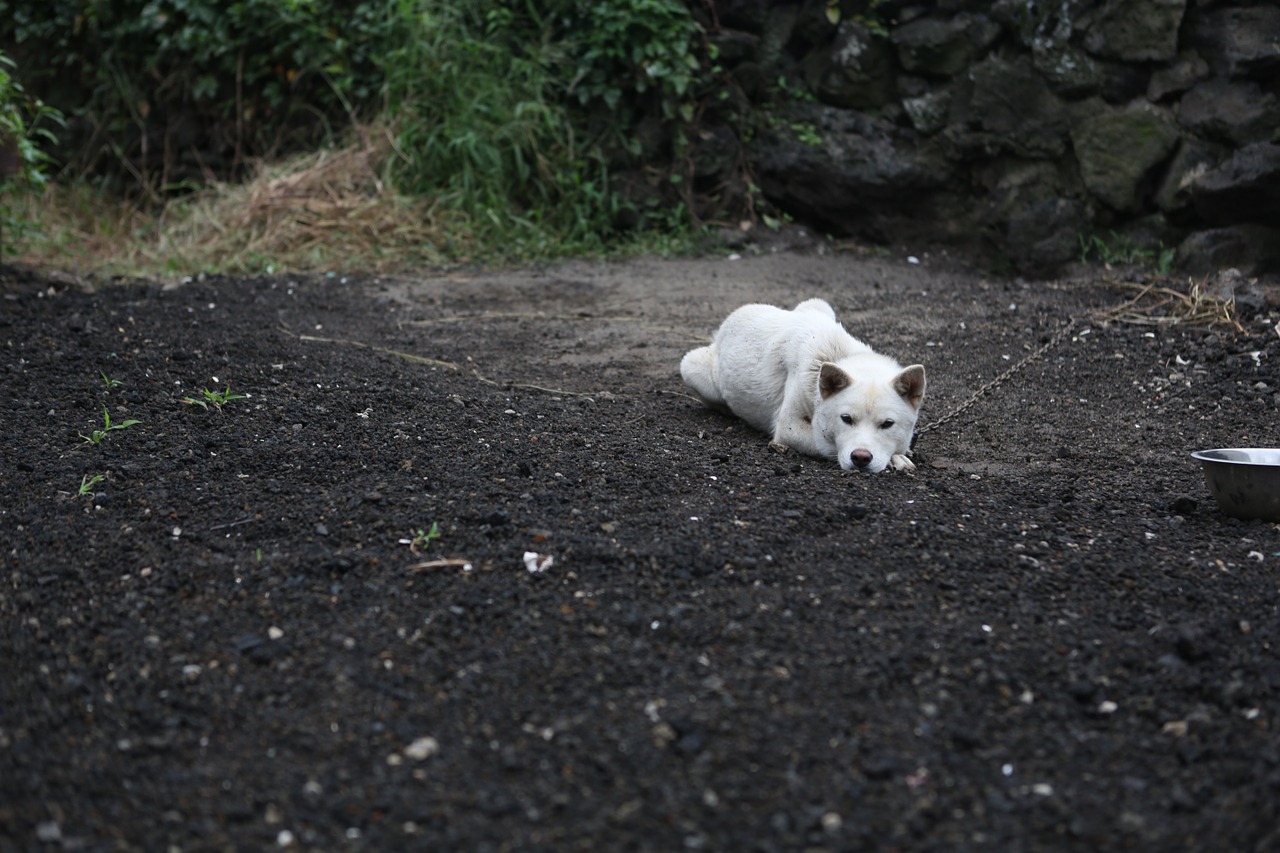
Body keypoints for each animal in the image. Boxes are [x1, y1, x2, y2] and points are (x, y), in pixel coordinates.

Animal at [686, 298, 926, 471]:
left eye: (887, 424)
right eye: (846, 419)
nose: (860, 458)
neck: (834, 355)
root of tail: (729, 321)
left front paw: (899, 456)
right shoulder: (788, 426)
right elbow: (826, 444)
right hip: (692, 368)